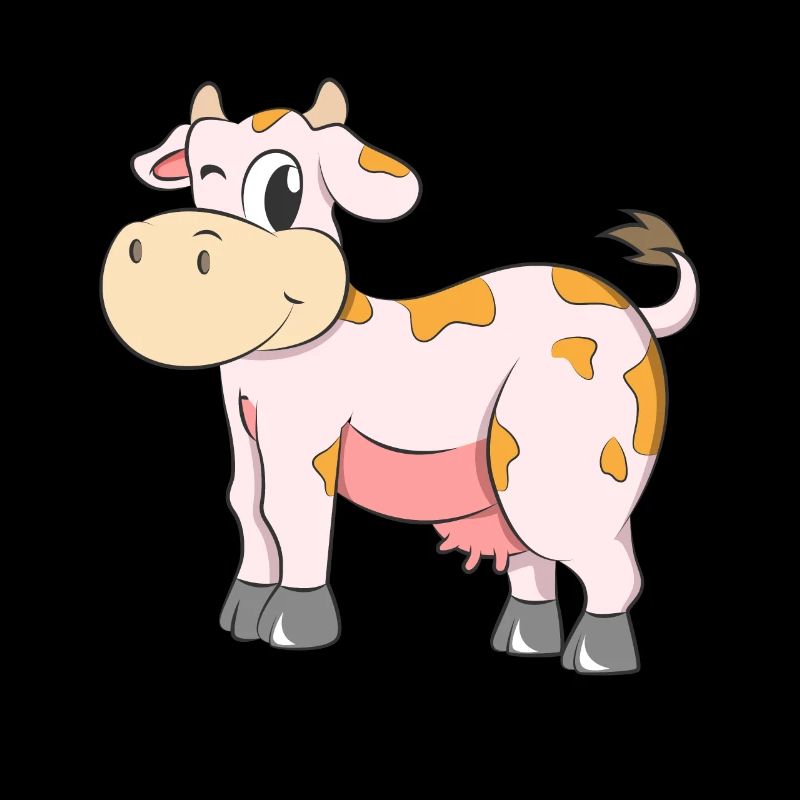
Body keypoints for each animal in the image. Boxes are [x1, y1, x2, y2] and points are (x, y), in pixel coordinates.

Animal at [101, 80, 698, 673]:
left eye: (283, 188)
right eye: (203, 182)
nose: (153, 249)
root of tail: (637, 313)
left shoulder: (307, 427)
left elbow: (290, 509)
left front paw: (292, 633)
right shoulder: (241, 418)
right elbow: (246, 504)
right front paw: (239, 623)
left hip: (576, 440)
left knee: (594, 548)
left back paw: (596, 661)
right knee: (536, 552)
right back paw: (520, 646)